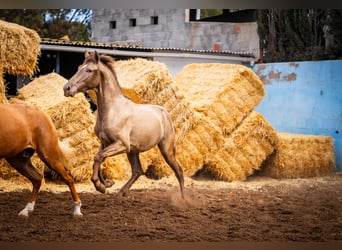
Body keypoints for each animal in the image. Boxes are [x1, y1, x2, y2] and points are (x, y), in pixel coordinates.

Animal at [62, 51, 183, 197]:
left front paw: (100, 185)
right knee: (137, 171)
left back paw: (183, 199)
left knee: (179, 171)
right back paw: (121, 192)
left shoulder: (121, 144)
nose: (67, 88)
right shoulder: (105, 143)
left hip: (166, 150)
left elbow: (98, 157)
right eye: (79, 67)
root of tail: (165, 113)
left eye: (89, 70)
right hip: (133, 151)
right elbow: (99, 159)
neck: (112, 110)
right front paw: (107, 184)